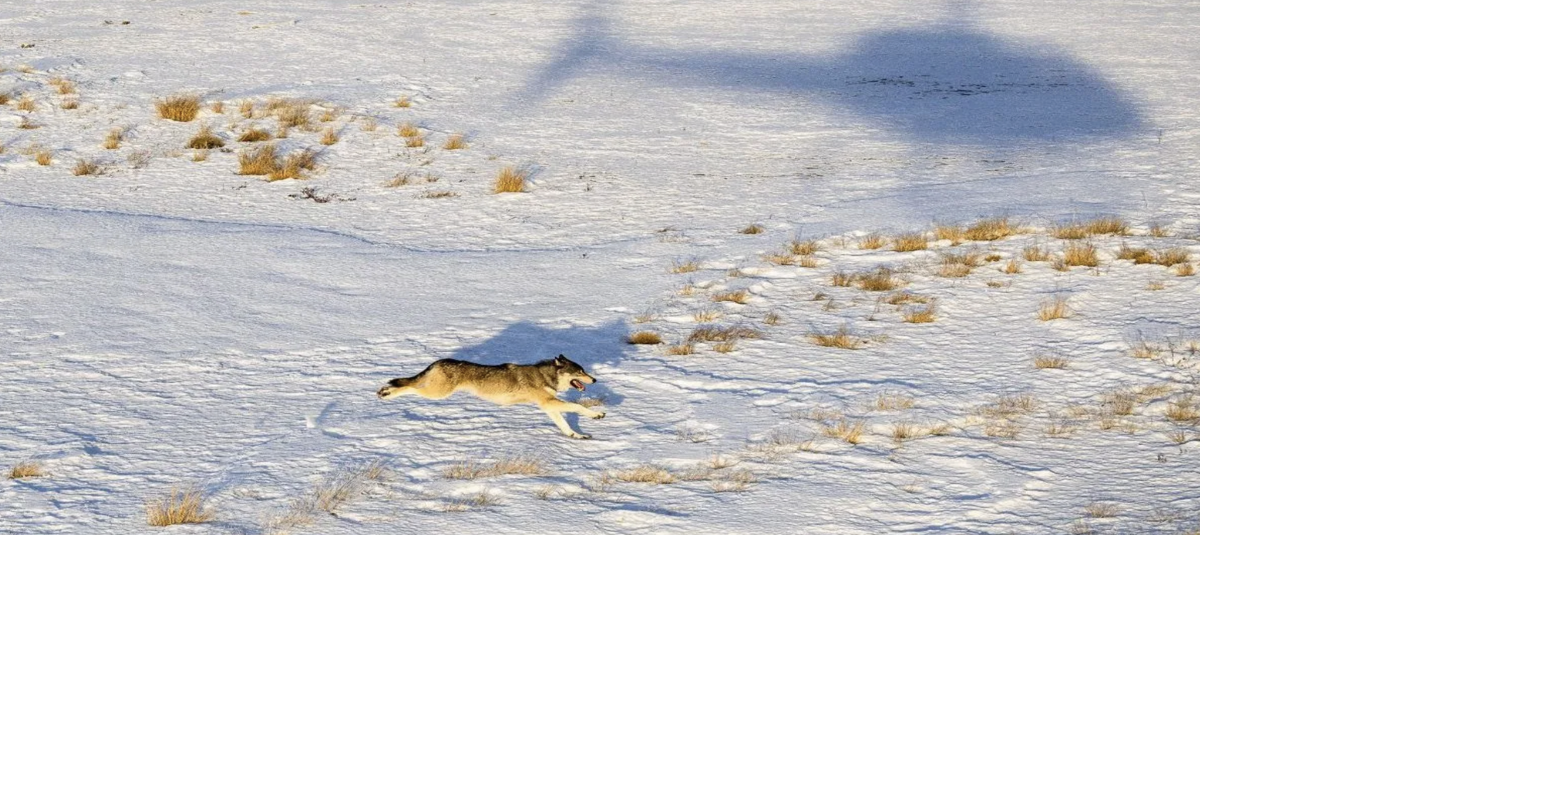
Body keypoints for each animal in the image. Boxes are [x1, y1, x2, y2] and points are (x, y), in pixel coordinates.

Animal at [377, 355, 606, 439]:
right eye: (580, 372)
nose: (594, 379)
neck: (545, 376)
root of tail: (438, 361)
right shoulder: (548, 402)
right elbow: (577, 407)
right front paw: (597, 415)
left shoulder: (548, 406)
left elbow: (564, 425)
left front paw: (576, 436)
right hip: (437, 393)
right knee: (409, 387)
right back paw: (385, 394)